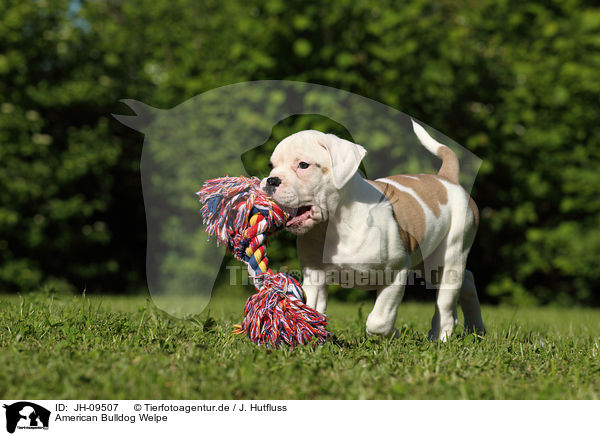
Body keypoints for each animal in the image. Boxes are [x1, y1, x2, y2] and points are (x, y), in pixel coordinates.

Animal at [260, 120, 486, 340]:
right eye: (271, 166)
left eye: (303, 165)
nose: (271, 180)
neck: (334, 223)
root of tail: (447, 179)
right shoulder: (314, 274)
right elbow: (311, 308)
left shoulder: (395, 272)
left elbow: (379, 320)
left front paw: (393, 333)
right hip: (426, 259)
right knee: (467, 280)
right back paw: (476, 330)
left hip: (450, 252)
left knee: (447, 296)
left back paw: (441, 334)